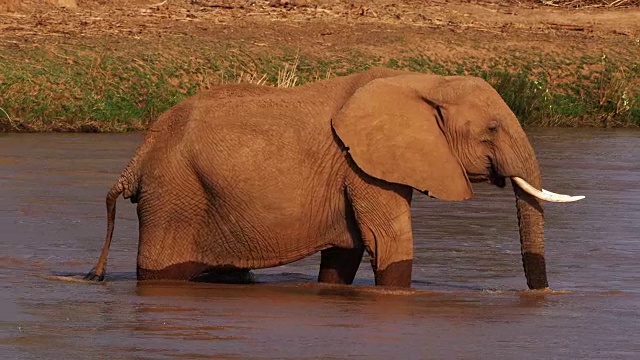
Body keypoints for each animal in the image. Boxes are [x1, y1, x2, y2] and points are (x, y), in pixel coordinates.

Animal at [86, 67, 584, 292]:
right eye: (493, 129)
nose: (545, 297)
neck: (423, 80)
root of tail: (139, 154)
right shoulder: (361, 165)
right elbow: (389, 241)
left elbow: (347, 252)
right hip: (173, 197)